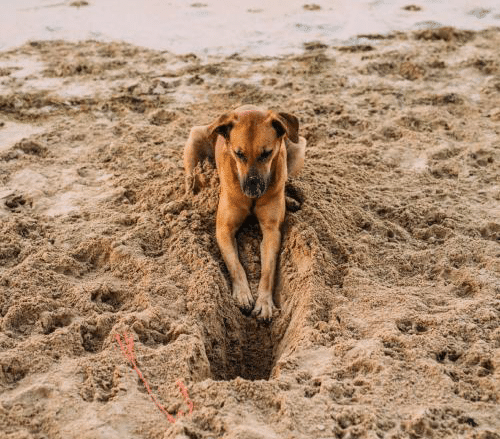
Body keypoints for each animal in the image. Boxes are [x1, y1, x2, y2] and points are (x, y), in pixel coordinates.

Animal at [184, 105, 306, 322]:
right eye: (238, 154)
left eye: (266, 154)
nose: (252, 189)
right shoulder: (224, 229)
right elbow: (235, 264)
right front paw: (242, 294)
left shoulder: (272, 231)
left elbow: (268, 270)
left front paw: (264, 302)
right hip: (195, 138)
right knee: (190, 178)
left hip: (298, 147)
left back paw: (289, 199)